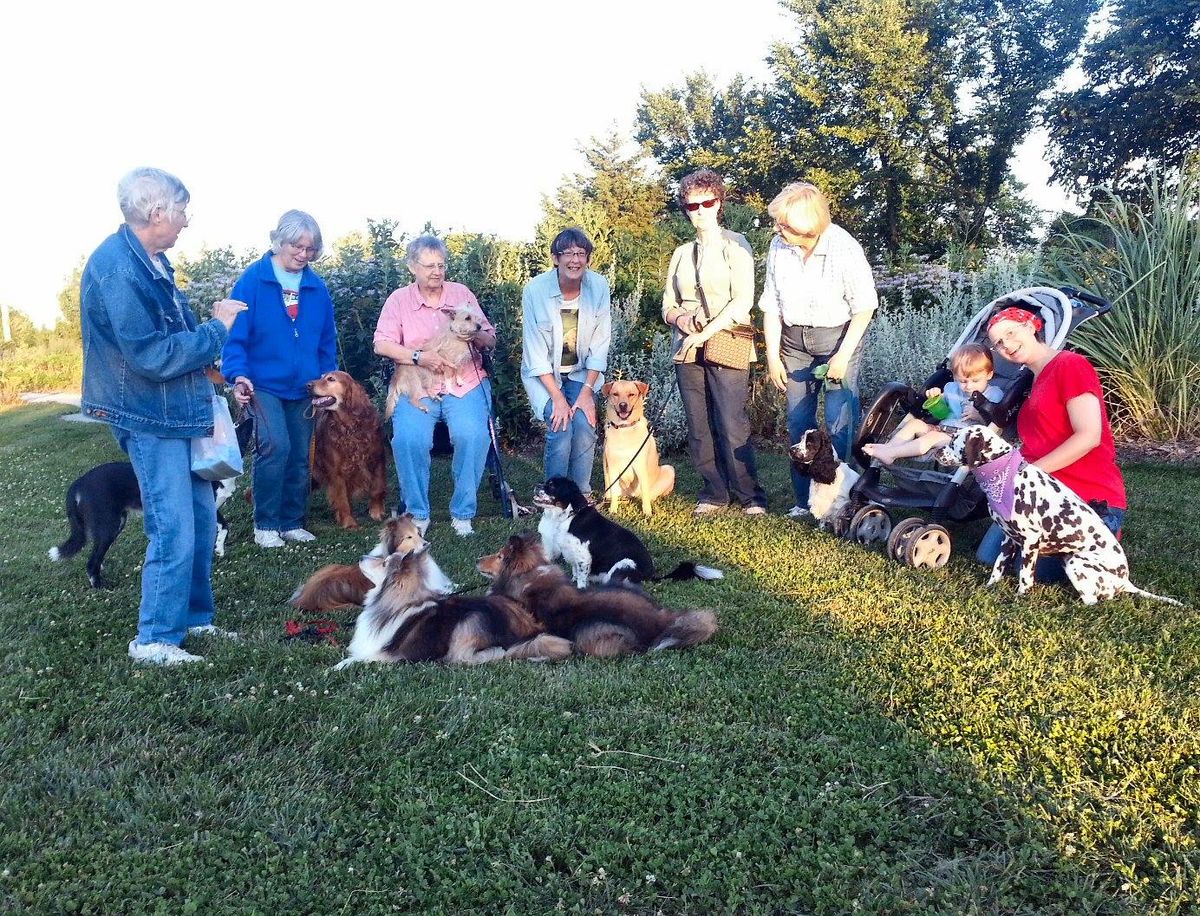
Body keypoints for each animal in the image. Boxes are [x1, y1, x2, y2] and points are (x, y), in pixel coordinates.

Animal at [931, 427, 1176, 605]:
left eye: (954, 440)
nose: (936, 451)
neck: (1004, 475)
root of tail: (1126, 581)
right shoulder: (1008, 539)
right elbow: (997, 569)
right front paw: (990, 587)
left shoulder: (1030, 542)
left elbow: (1025, 577)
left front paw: (1020, 599)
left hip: (1075, 562)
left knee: (1093, 601)